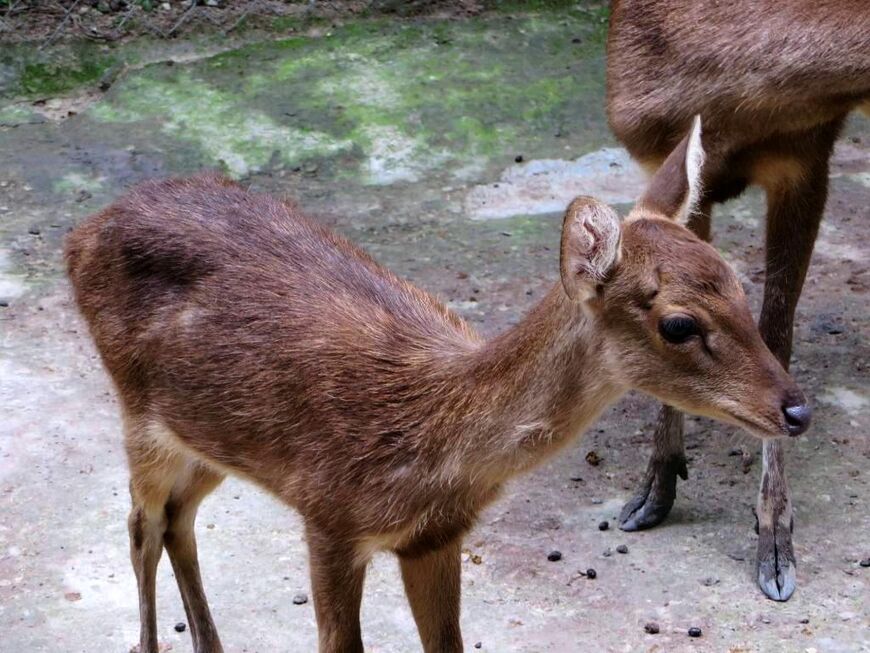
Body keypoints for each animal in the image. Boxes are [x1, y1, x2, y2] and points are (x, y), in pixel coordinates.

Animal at [66, 118, 812, 652]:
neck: (429, 436)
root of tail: (79, 234)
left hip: (208, 432)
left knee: (178, 517)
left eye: (736, 280)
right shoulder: (327, 516)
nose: (796, 408)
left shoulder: (435, 536)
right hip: (138, 410)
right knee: (140, 524)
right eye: (679, 324)